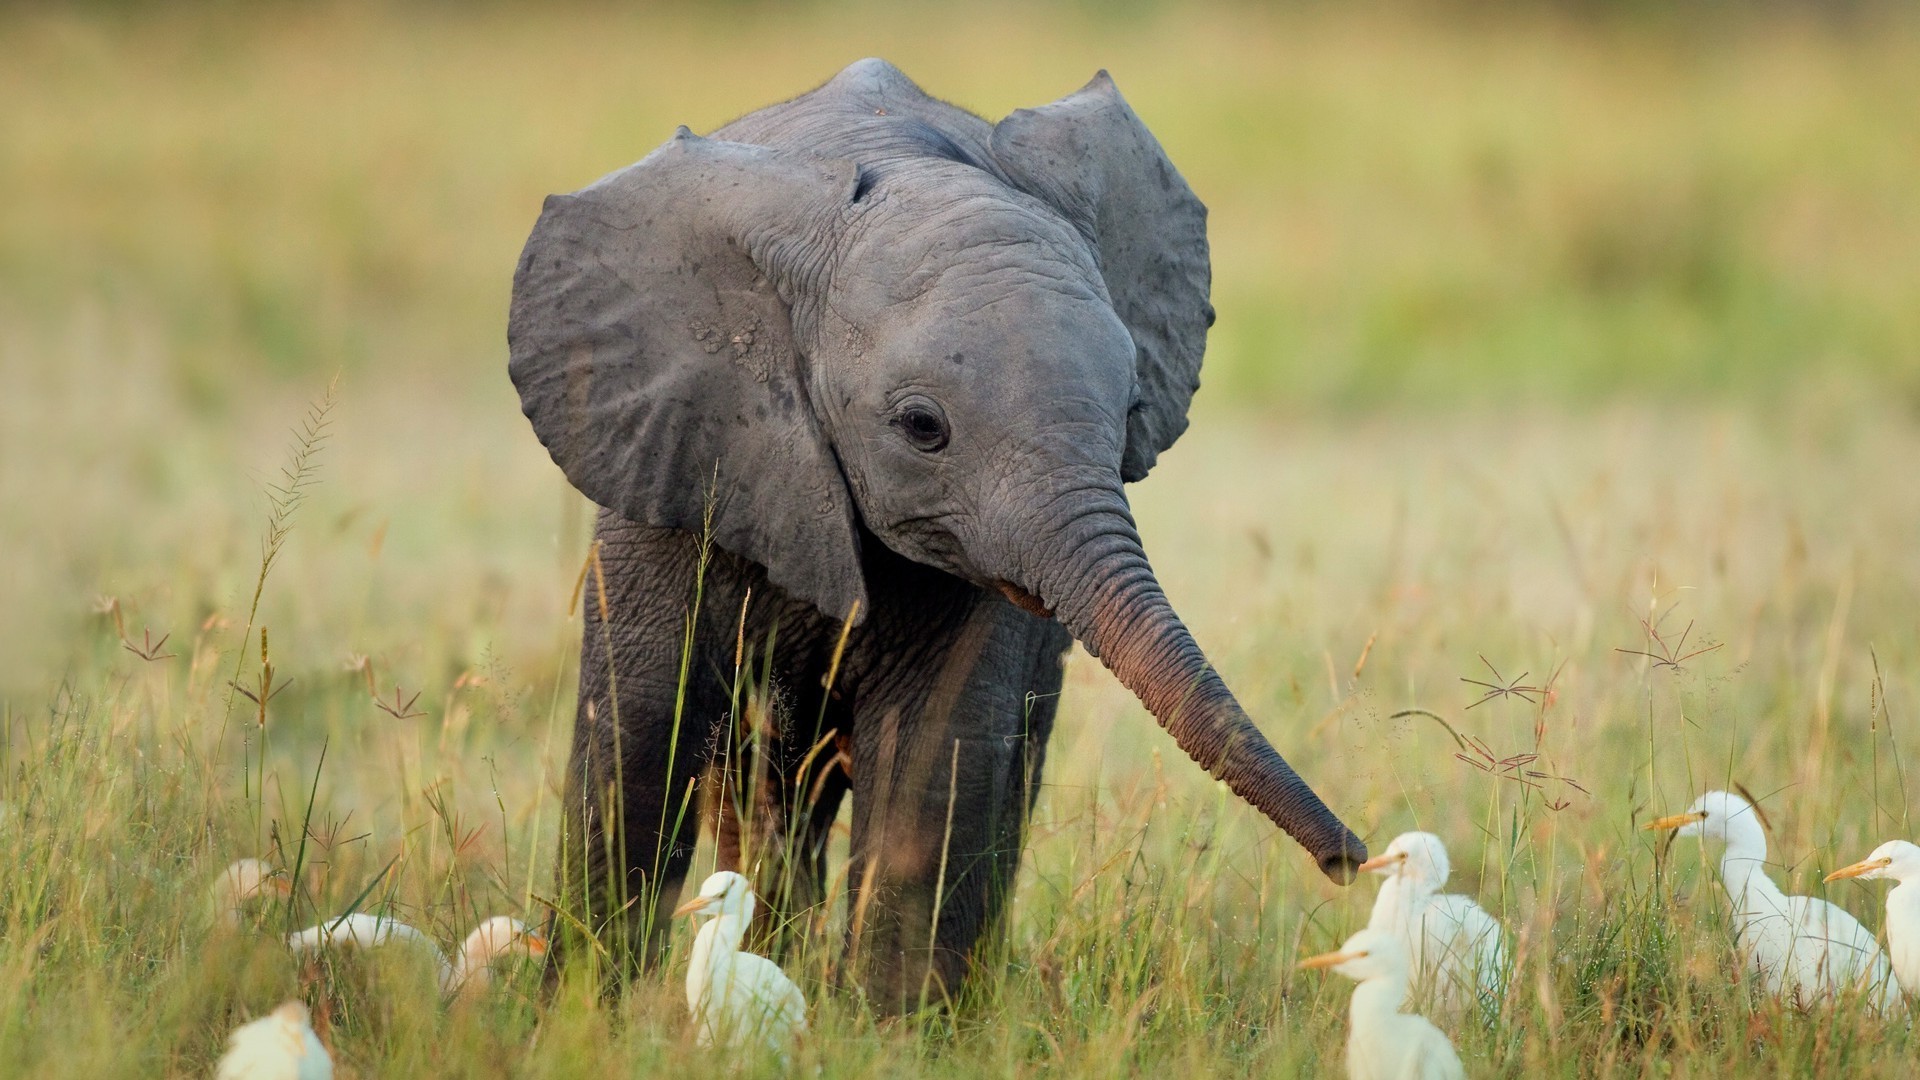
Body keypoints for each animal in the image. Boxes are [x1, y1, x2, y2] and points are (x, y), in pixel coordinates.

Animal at [503, 58, 1359, 1006]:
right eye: (922, 427)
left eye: (1134, 407)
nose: (1351, 861)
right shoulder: (675, 454)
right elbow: (640, 731)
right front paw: (581, 1012)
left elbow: (935, 754)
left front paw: (890, 1025)